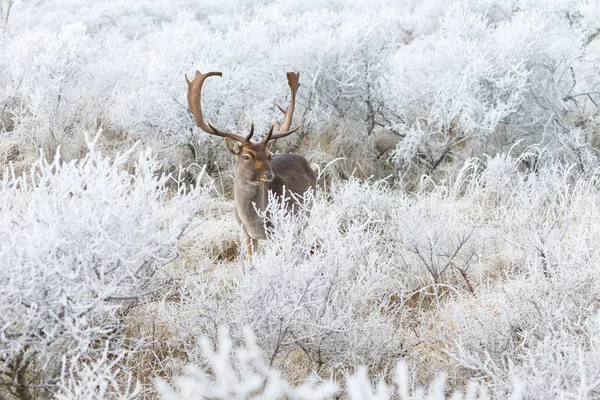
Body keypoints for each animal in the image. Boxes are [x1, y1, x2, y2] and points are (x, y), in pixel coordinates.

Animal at [186, 70, 318, 260]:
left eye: (269, 156)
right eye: (247, 156)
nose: (269, 174)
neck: (254, 221)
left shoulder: (278, 228)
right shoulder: (245, 232)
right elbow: (251, 261)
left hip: (305, 212)